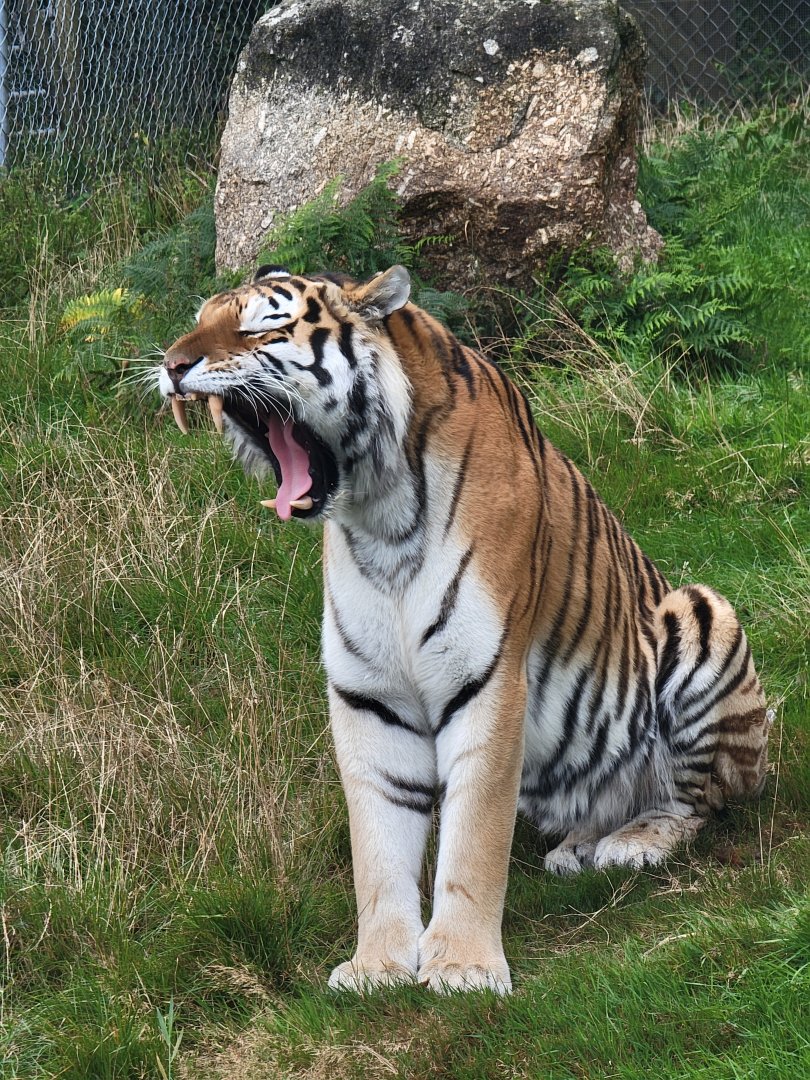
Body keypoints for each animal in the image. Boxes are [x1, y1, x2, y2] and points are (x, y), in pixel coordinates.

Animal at [159, 263, 771, 995]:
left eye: (260, 326)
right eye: (198, 321)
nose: (171, 365)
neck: (378, 516)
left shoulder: (485, 678)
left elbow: (475, 835)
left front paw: (464, 968)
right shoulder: (370, 695)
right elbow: (378, 847)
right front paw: (377, 966)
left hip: (703, 612)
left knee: (698, 803)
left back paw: (633, 843)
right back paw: (578, 848)